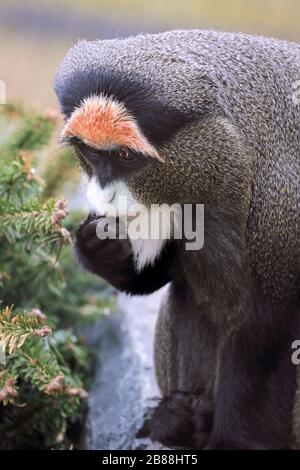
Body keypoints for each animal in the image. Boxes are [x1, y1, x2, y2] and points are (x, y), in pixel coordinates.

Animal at [54, 30, 300, 452]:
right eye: (90, 152)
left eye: (125, 156)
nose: (104, 196)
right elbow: (161, 276)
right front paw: (99, 249)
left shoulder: (280, 210)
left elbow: (268, 330)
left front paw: (233, 441)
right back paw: (183, 422)